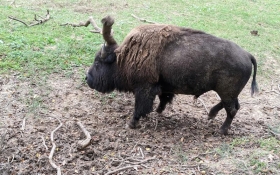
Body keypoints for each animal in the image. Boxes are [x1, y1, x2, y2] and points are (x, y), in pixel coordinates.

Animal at [85, 15, 258, 135]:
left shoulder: (144, 89)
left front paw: (132, 123)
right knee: (234, 106)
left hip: (226, 92)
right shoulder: (162, 87)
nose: (87, 78)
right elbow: (163, 98)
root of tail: (247, 54)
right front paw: (158, 111)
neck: (125, 57)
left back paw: (221, 130)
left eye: (98, 63)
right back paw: (211, 115)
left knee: (232, 110)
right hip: (228, 93)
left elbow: (140, 107)